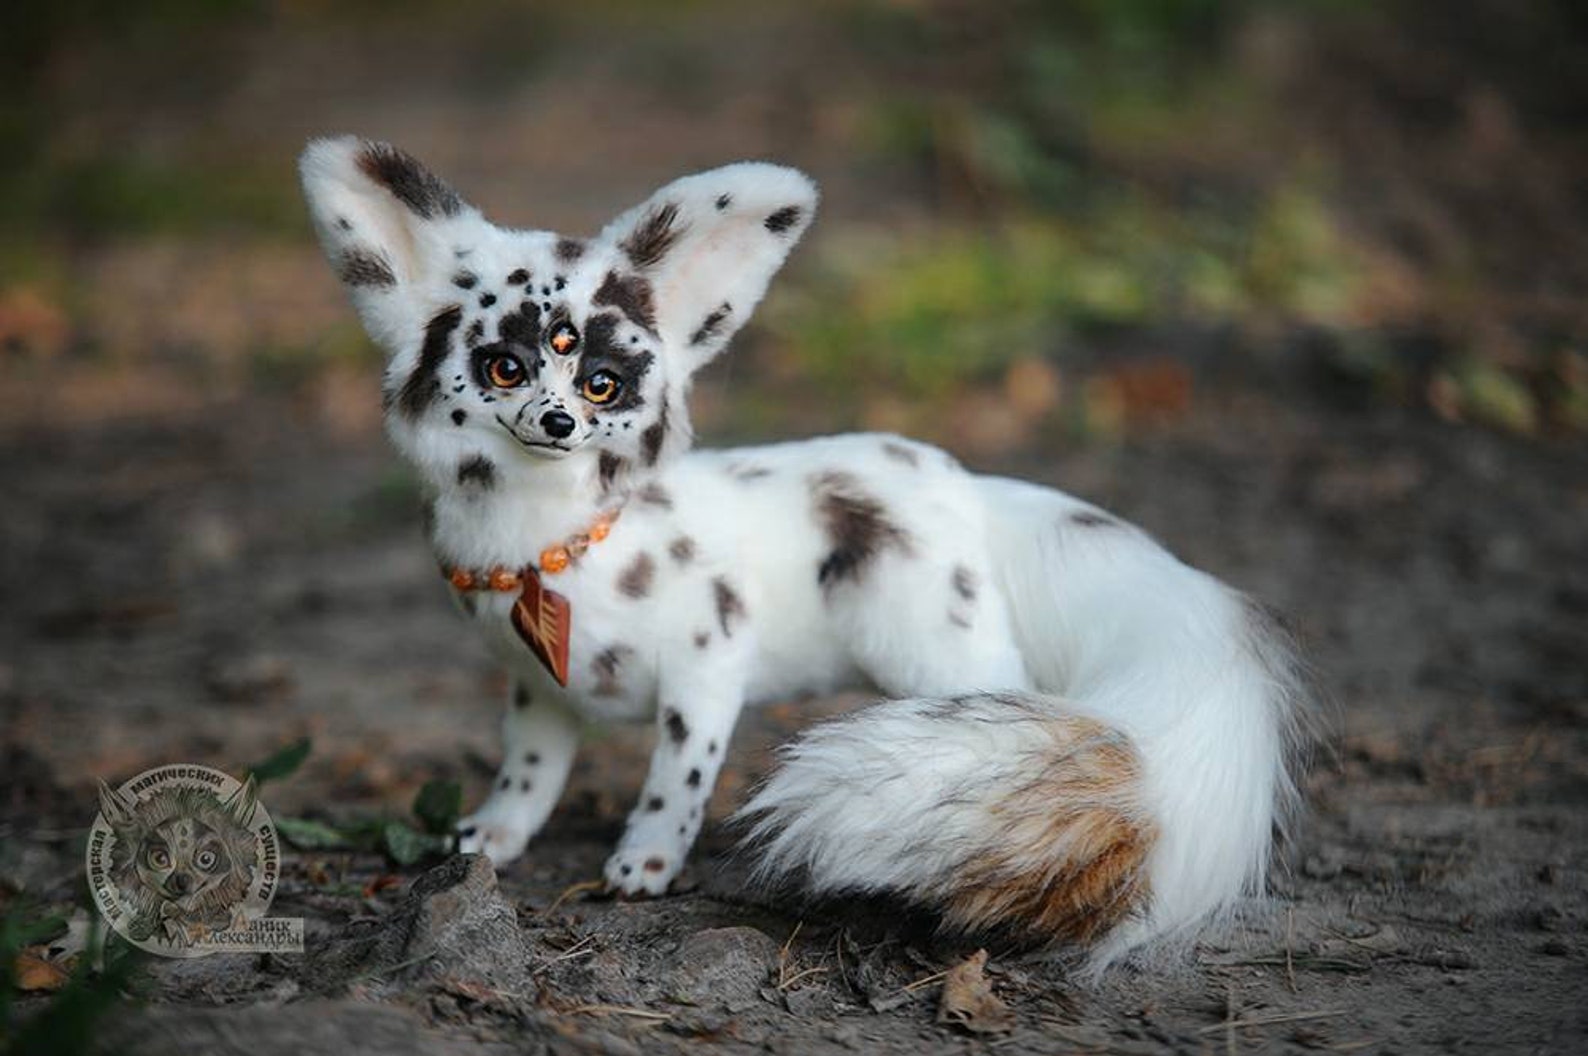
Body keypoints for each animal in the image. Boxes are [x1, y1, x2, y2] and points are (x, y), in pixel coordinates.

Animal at [299, 136, 1317, 968]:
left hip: (941, 654)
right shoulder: (537, 696)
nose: (556, 423)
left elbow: (677, 779)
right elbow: (529, 776)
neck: (547, 549)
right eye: (504, 366)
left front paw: (643, 867)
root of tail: (970, 488)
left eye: (601, 383)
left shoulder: (709, 668)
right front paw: (487, 841)